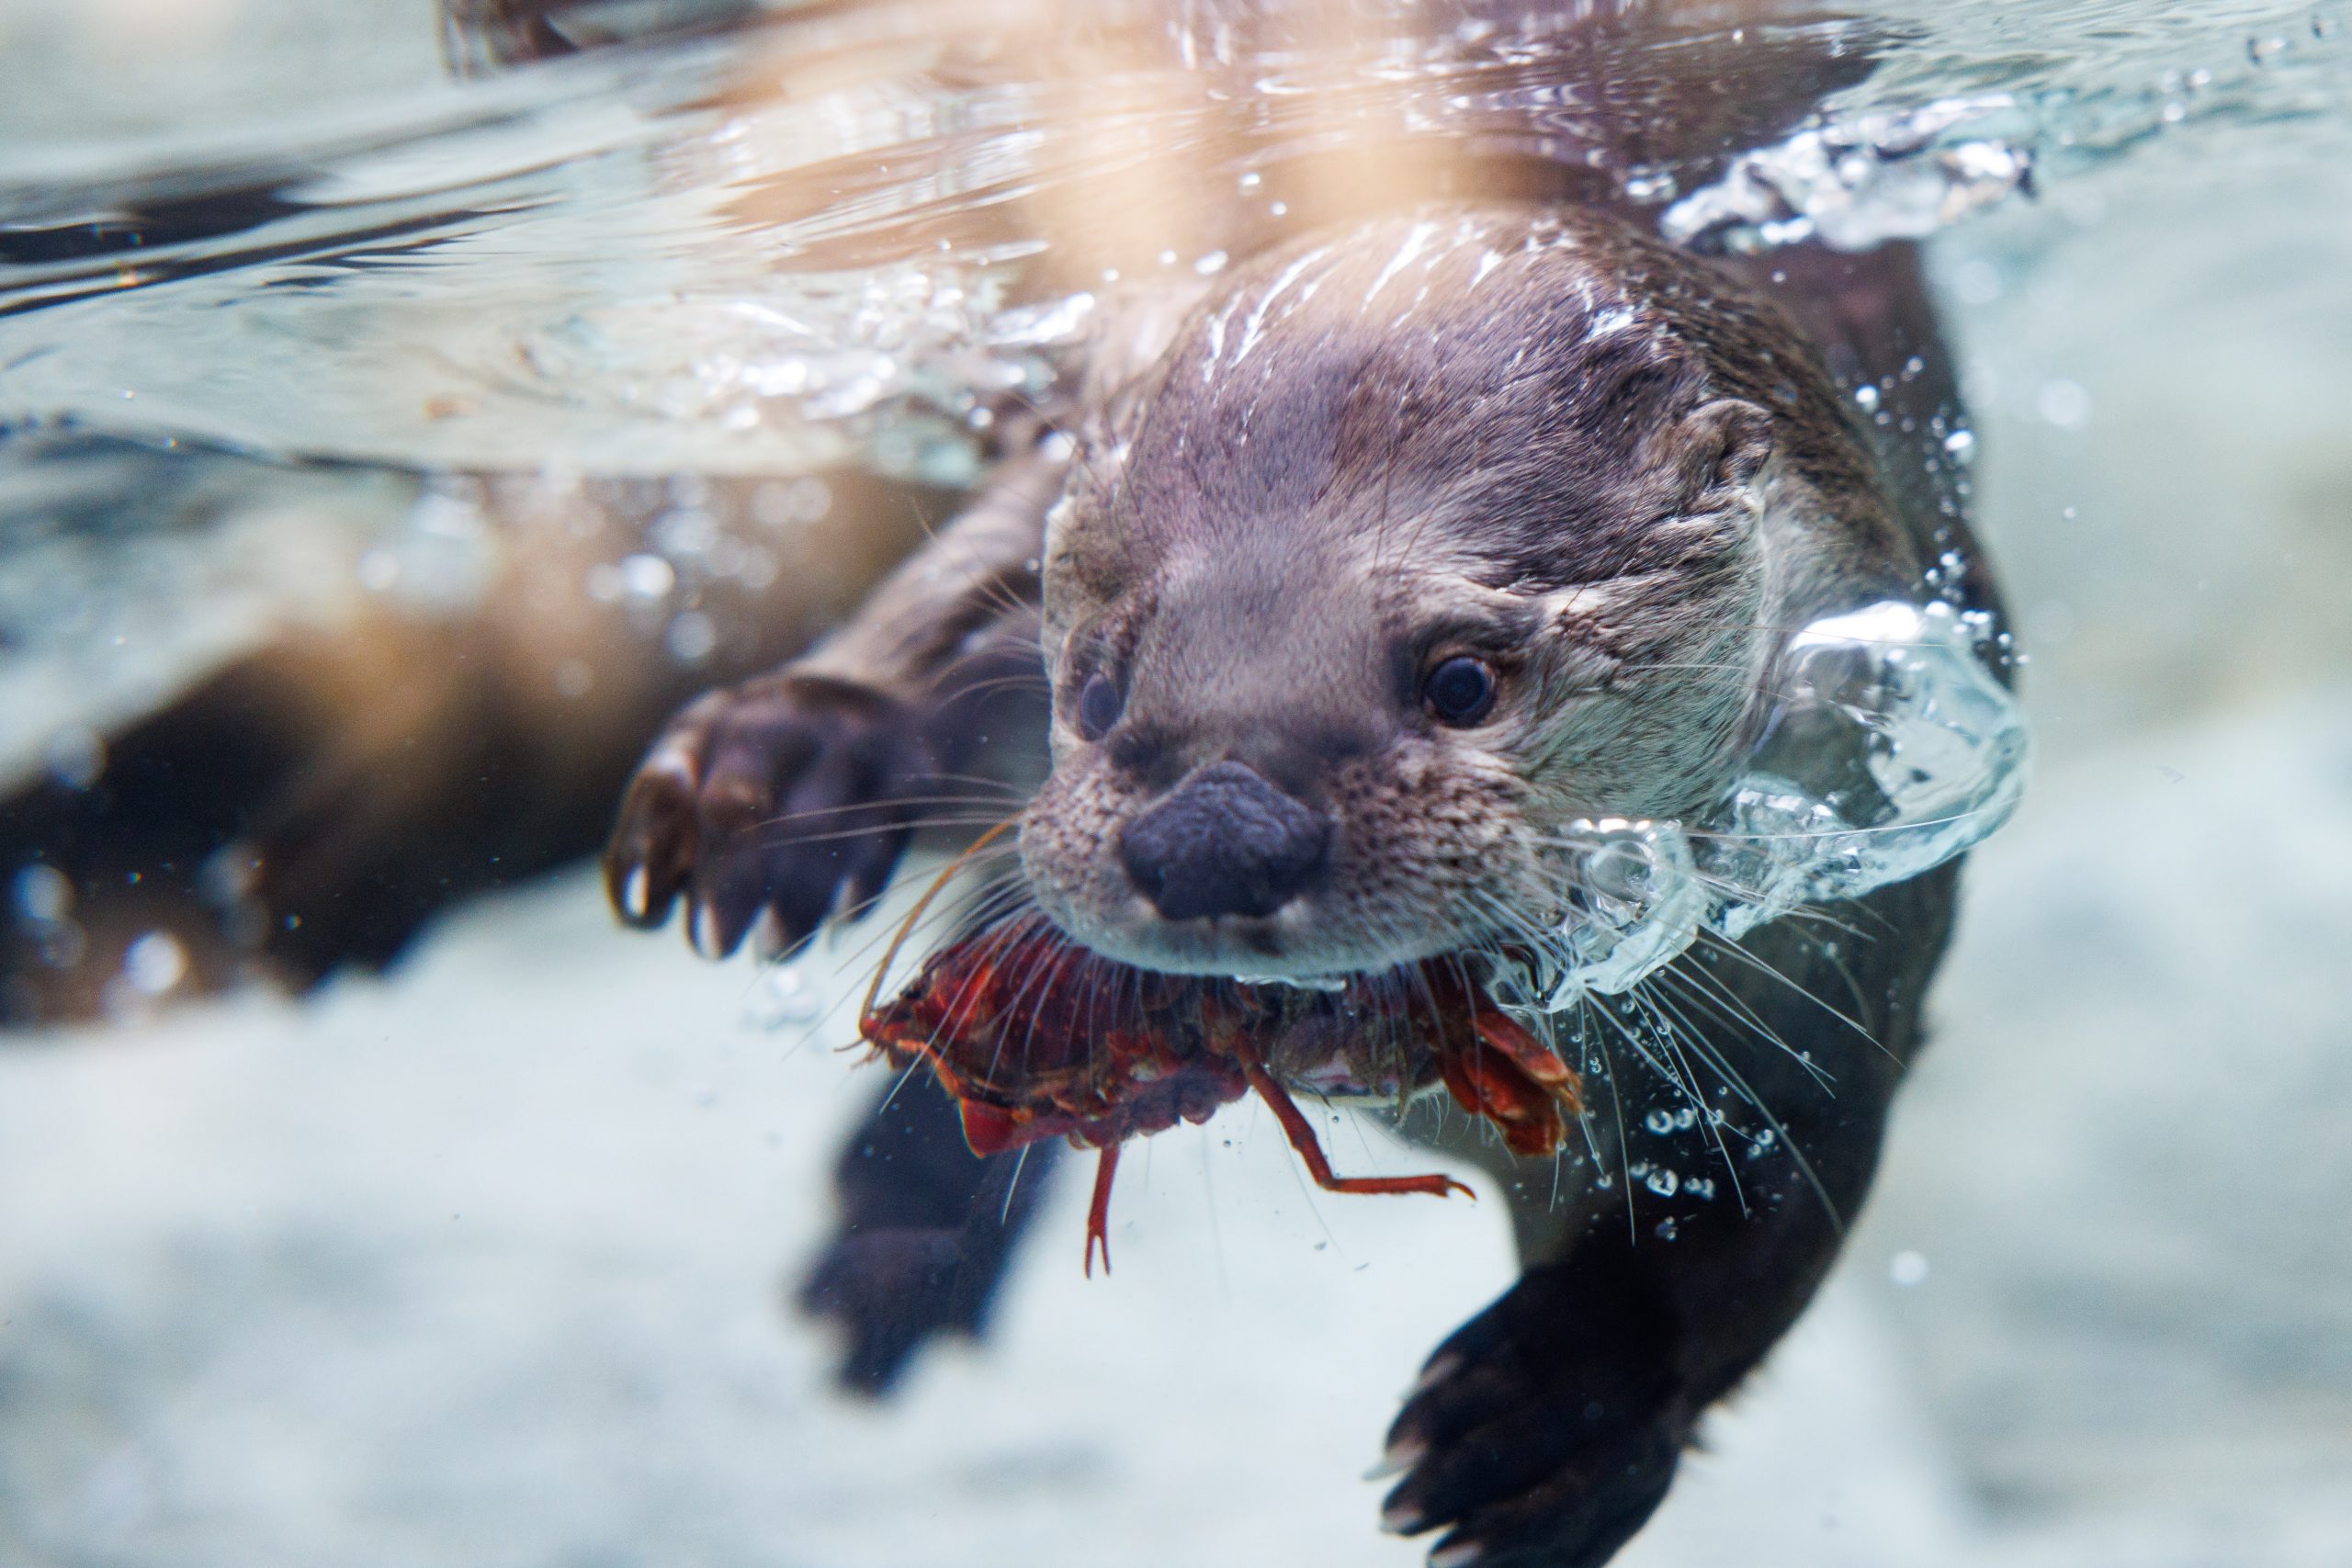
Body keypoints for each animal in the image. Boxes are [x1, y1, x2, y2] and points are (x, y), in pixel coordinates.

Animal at [604, 205, 2007, 1568]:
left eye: (1461, 679)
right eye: (1099, 683)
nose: (1216, 829)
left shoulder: (1849, 954)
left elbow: (1764, 1211)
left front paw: (1548, 1413)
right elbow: (950, 586)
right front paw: (767, 768)